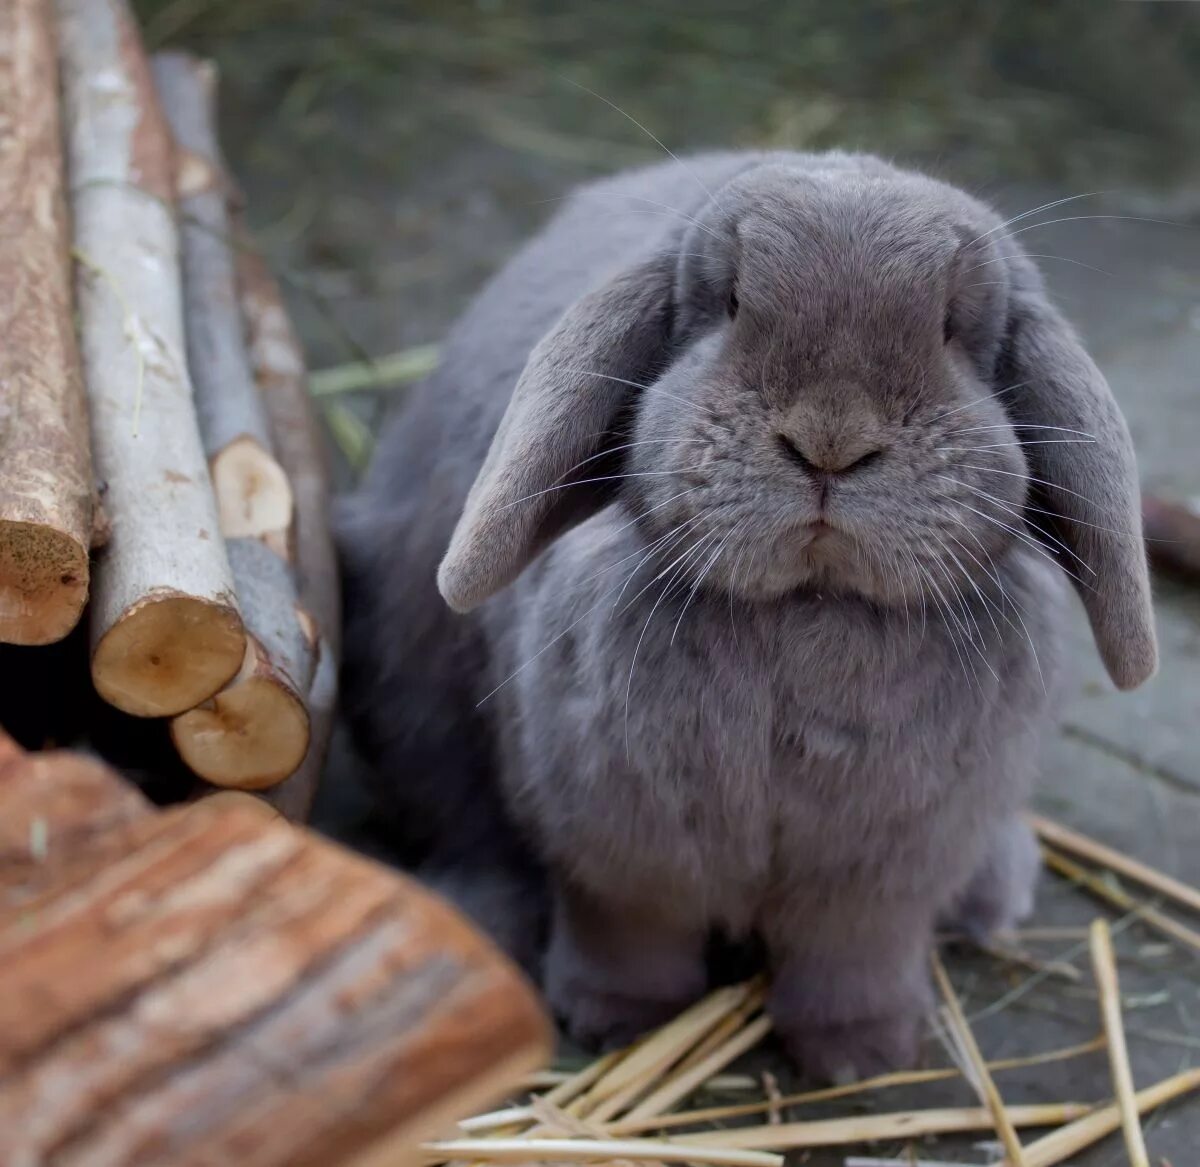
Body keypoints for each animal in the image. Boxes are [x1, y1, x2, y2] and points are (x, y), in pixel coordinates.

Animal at [336, 150, 1152, 1080]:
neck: (807, 606)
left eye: (953, 325)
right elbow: (627, 932)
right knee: (465, 826)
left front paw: (860, 1055)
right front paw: (616, 1020)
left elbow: (854, 958)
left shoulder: (880, 881)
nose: (830, 440)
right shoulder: (619, 850)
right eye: (728, 300)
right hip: (418, 699)